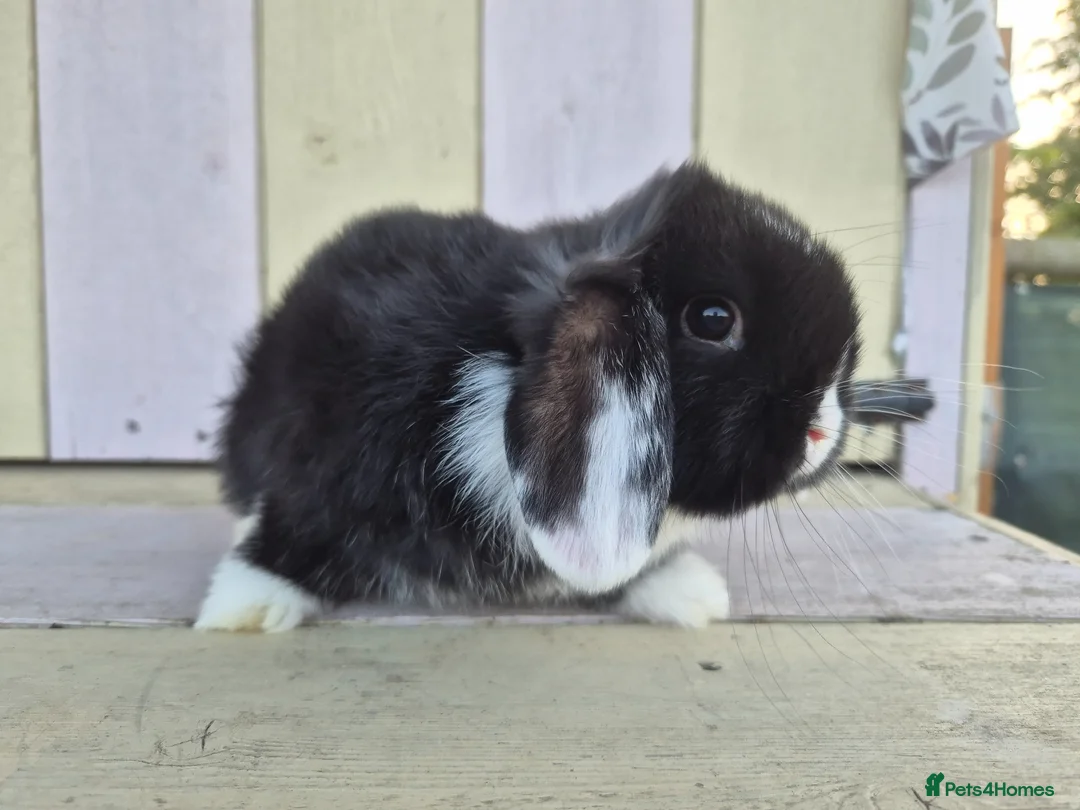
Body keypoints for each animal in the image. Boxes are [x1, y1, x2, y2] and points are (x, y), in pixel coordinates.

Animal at [193, 159, 861, 633]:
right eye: (713, 319)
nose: (822, 429)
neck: (498, 378)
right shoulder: (321, 459)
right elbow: (291, 529)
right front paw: (242, 605)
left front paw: (690, 591)